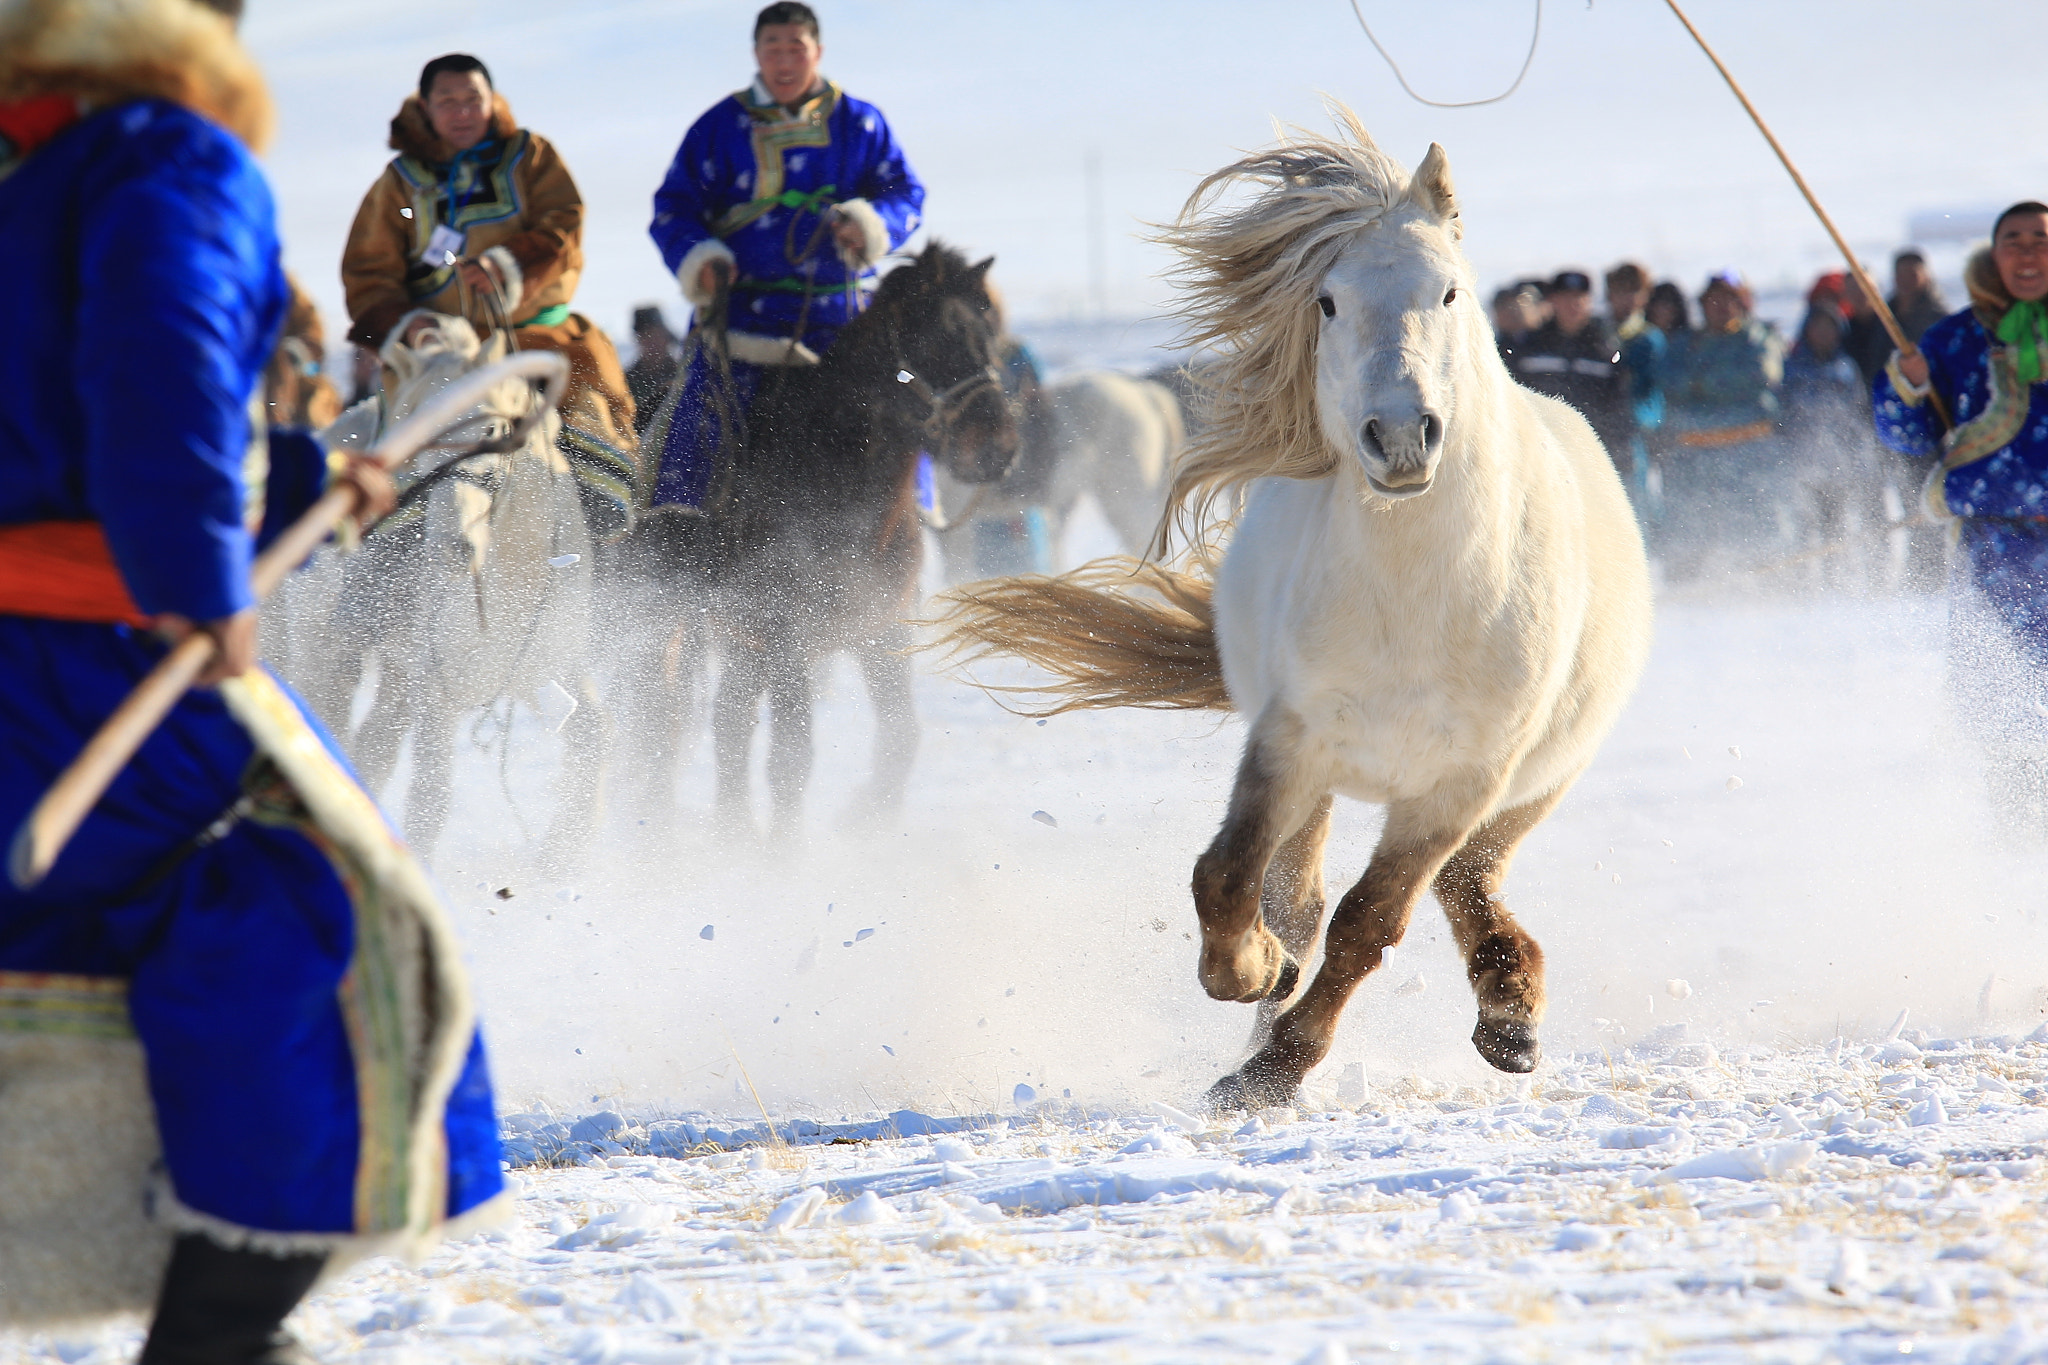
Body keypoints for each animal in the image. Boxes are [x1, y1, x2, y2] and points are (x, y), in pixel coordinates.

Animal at [262, 315, 606, 859]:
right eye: (421, 443)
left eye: (491, 430)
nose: (454, 547)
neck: (514, 577)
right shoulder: (437, 695)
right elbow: (432, 798)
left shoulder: (549, 669)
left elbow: (595, 739)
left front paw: (563, 853)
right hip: (325, 649)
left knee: (373, 746)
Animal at [610, 245, 1019, 843]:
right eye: (934, 338)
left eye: (992, 334)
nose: (996, 448)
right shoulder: (786, 637)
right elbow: (792, 755)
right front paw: (786, 852)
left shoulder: (882, 627)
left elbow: (902, 736)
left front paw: (863, 818)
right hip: (663, 628)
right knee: (660, 723)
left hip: (740, 642)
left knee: (727, 723)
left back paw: (733, 830)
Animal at [937, 109, 1654, 1113]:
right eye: (1327, 301)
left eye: (1449, 291)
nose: (1401, 437)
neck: (1420, 598)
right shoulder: (1293, 736)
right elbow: (1232, 877)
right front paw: (1255, 979)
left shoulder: (1462, 780)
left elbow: (1371, 923)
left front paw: (1274, 1070)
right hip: (1331, 777)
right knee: (1310, 896)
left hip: (1536, 781)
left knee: (1465, 879)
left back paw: (1510, 1020)